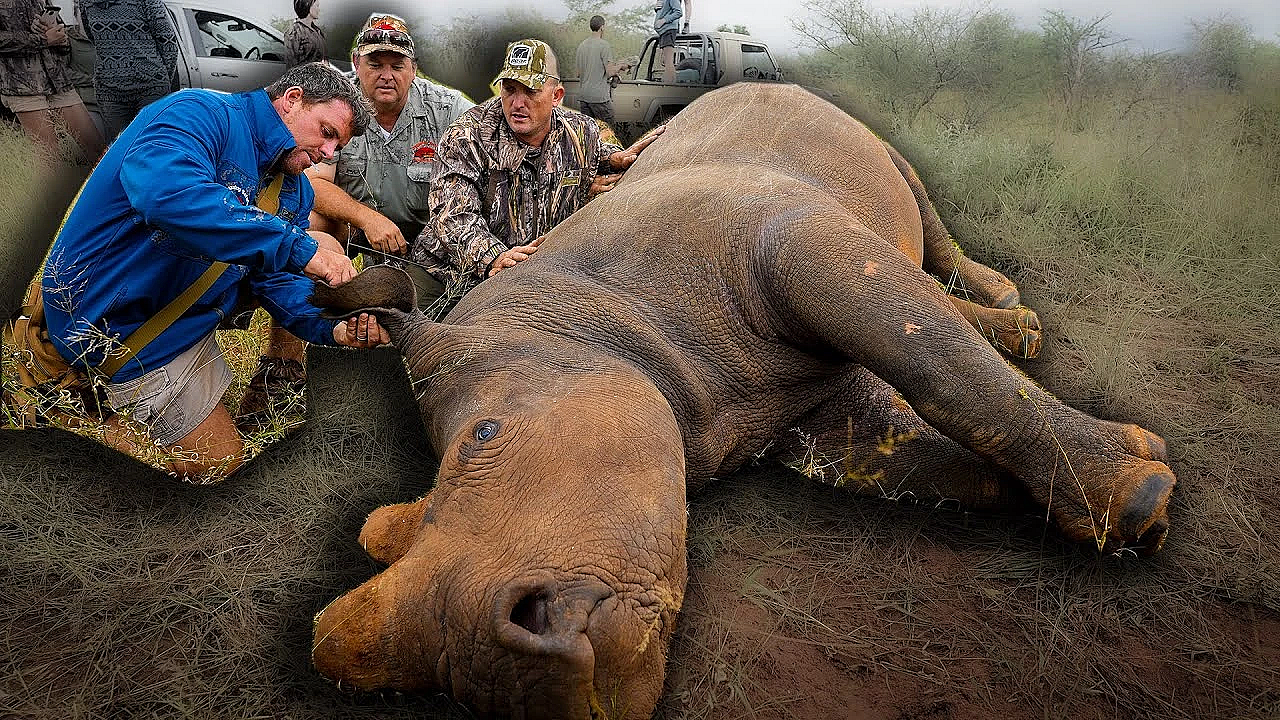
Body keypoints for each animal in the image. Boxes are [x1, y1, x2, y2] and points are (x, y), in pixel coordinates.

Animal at [308, 83, 1175, 719]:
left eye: (484, 434)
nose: (488, 676)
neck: (600, 322)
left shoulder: (784, 237)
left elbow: (942, 368)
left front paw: (1140, 495)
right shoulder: (799, 417)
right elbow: (921, 452)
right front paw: (1105, 499)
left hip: (835, 144)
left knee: (918, 208)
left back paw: (1014, 322)